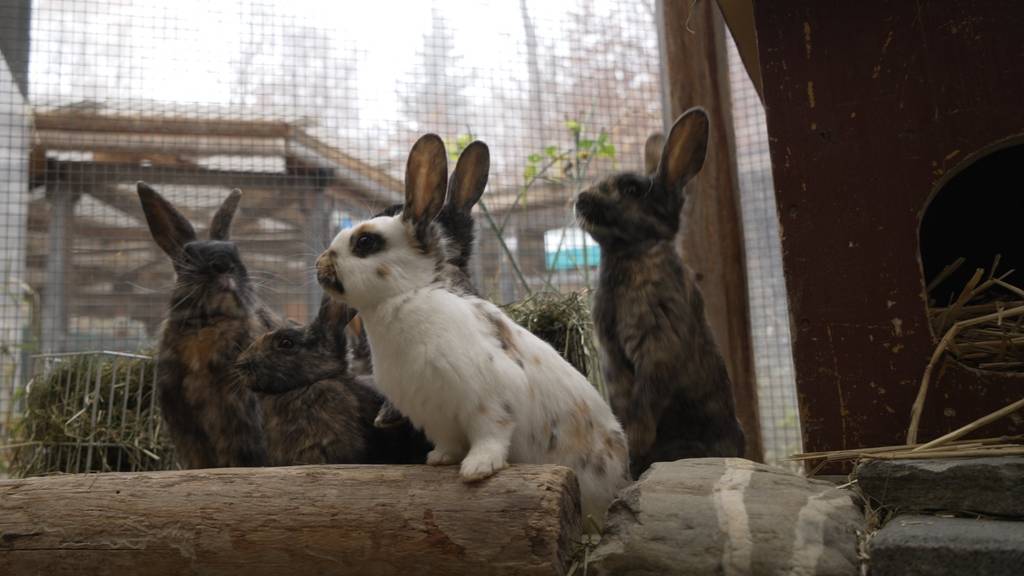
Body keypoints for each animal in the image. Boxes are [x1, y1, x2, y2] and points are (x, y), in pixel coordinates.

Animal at [574, 107, 746, 479]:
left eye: (632, 189)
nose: (580, 199)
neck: (630, 252)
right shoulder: (613, 356)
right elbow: (624, 399)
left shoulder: (658, 343)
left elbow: (646, 398)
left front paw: (636, 442)